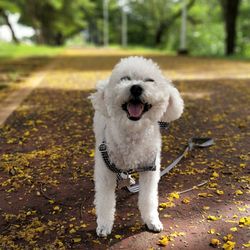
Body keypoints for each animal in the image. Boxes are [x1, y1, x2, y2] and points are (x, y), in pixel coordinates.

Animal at [89, 56, 184, 236]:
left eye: (150, 80)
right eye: (124, 79)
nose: (136, 88)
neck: (133, 133)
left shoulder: (150, 169)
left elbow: (148, 198)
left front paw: (152, 221)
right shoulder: (106, 170)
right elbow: (105, 200)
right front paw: (104, 225)